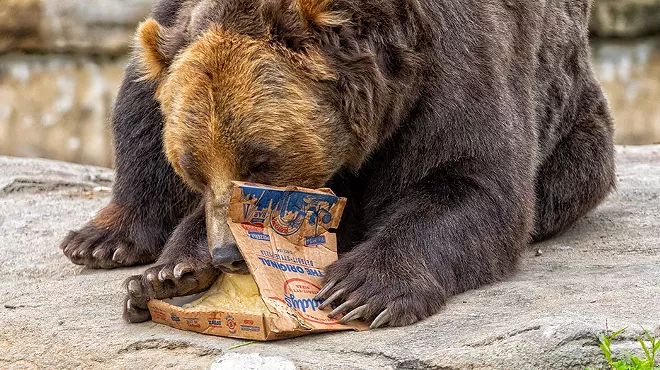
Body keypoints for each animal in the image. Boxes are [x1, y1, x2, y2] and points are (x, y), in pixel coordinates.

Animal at [59, 0, 616, 328]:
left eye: (260, 162)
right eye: (192, 168)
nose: (225, 254)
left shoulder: (461, 59)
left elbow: (470, 180)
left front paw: (361, 288)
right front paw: (169, 273)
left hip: (574, 125)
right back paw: (105, 238)